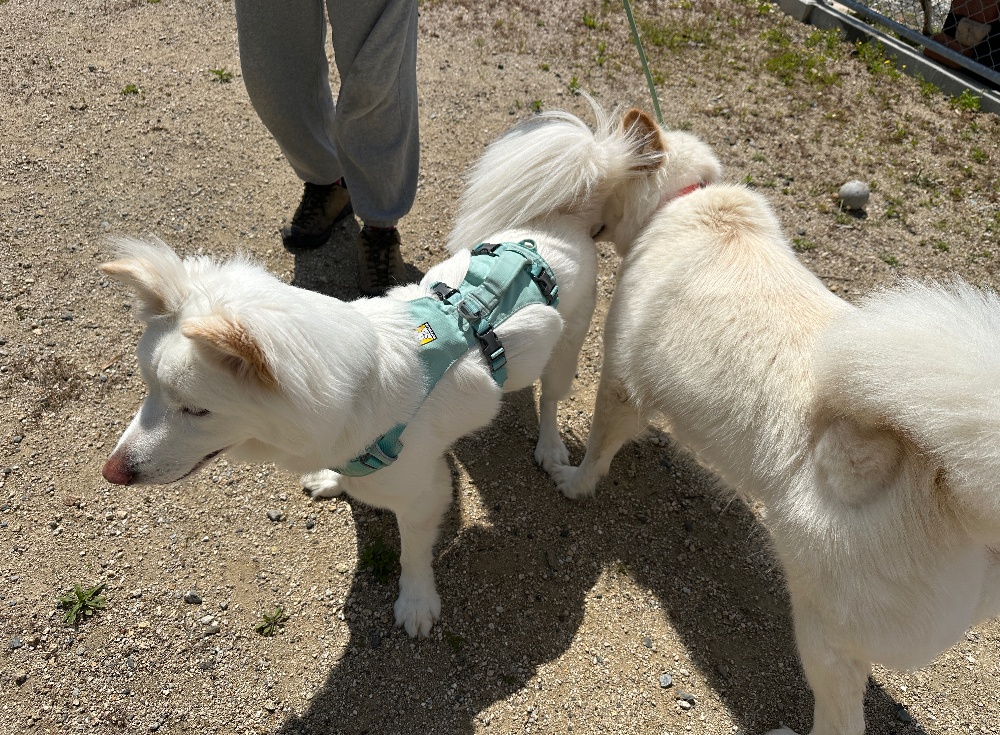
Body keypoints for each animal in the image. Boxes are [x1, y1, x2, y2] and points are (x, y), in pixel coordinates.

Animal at [99, 105, 672, 637]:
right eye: (149, 391)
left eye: (197, 410)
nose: (112, 473)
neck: (358, 395)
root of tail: (566, 218)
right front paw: (332, 480)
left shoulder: (423, 494)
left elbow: (412, 554)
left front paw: (417, 604)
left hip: (569, 350)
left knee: (551, 399)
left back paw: (551, 448)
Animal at [549, 131, 1000, 733]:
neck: (687, 200)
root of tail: (953, 493)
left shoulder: (620, 381)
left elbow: (599, 449)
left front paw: (574, 482)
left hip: (822, 628)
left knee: (840, 719)